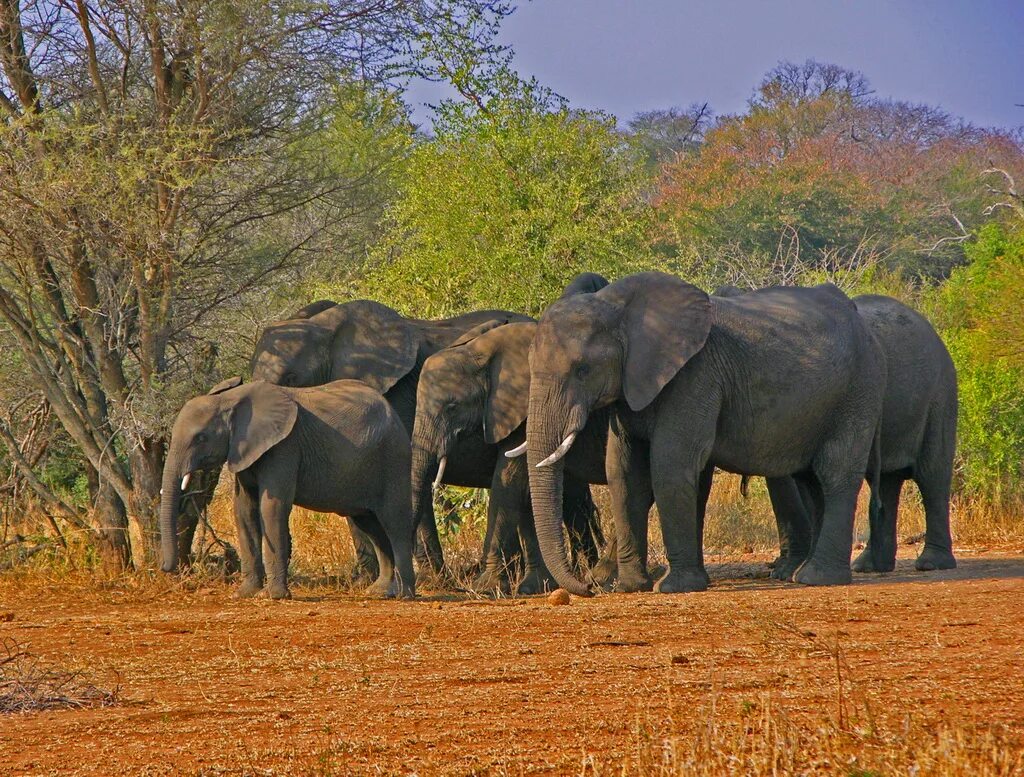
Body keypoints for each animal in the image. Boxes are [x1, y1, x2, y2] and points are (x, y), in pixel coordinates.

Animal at [159, 380, 415, 597]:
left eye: (200, 438)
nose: (165, 568)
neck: (230, 399)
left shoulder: (284, 448)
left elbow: (272, 508)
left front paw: (272, 596)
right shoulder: (244, 452)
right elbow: (244, 511)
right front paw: (244, 594)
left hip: (394, 457)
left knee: (395, 522)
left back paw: (404, 595)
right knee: (369, 524)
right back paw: (379, 592)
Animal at [524, 272, 884, 593]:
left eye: (582, 369)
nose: (587, 587)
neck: (618, 307)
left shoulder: (695, 375)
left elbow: (670, 465)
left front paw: (674, 588)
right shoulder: (629, 388)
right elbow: (623, 473)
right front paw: (630, 588)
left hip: (858, 389)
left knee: (835, 473)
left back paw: (816, 578)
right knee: (812, 480)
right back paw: (805, 574)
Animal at [712, 286, 958, 577]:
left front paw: (788, 572)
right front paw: (789, 570)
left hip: (940, 394)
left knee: (932, 475)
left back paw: (931, 563)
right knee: (886, 481)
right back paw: (869, 566)